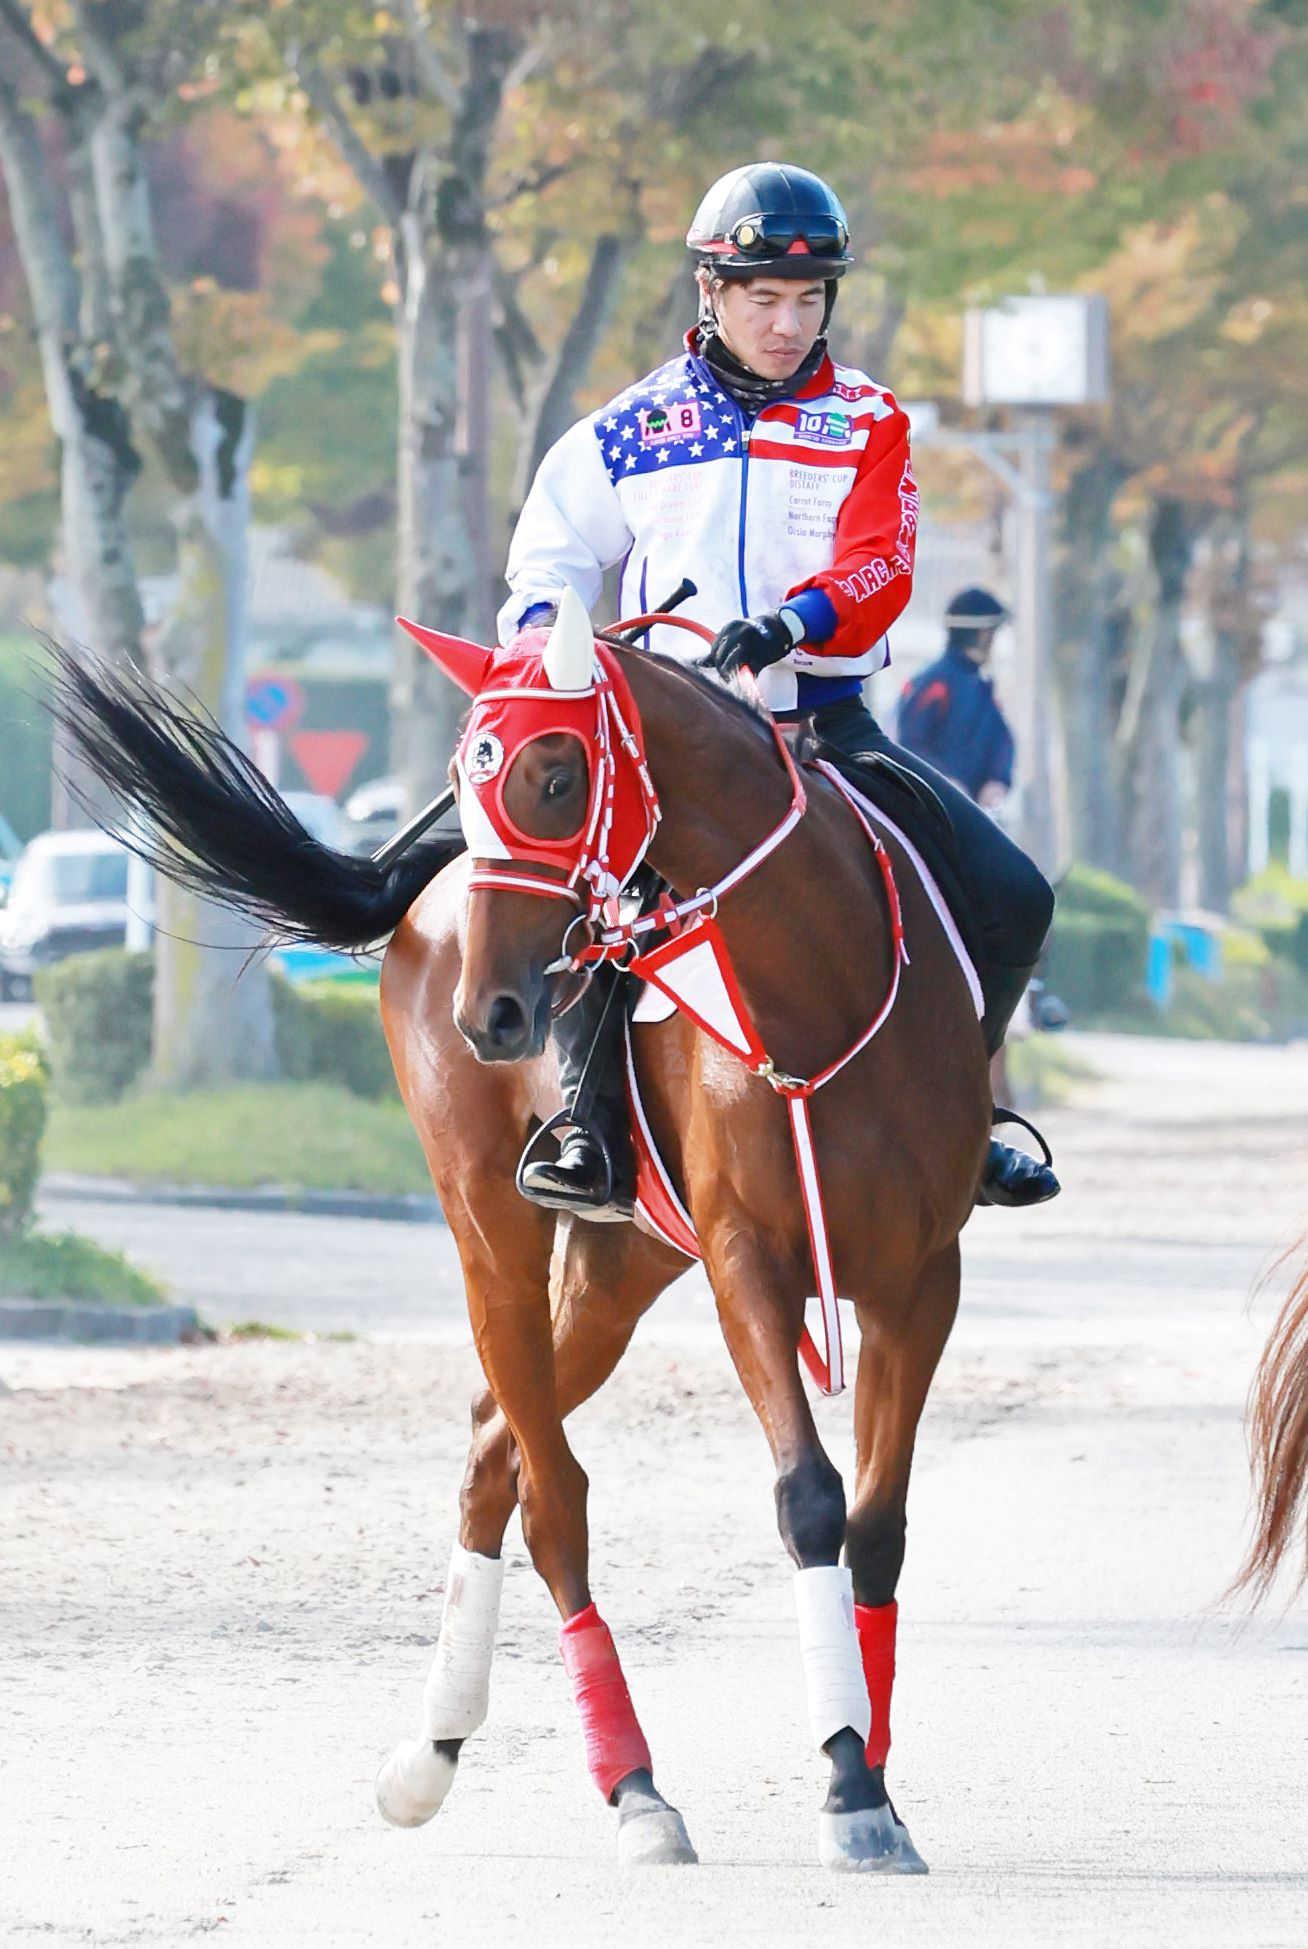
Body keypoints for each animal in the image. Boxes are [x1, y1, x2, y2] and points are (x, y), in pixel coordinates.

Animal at [51, 592, 994, 1871]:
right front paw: (847, 1775)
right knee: (549, 1491)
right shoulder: (748, 1260)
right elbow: (807, 1497)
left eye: (556, 774)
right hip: (494, 1230)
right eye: (466, 769)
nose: (494, 1009)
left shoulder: (919, 1278)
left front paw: (876, 1779)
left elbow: (878, 1526)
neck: (814, 982)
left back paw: (438, 1747)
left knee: (493, 1443)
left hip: (619, 1265)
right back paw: (629, 1784)